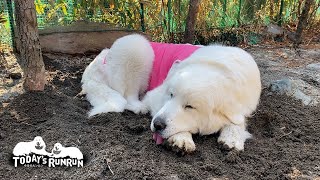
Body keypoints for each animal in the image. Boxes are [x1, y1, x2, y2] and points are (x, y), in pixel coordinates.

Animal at [81, 34, 262, 152]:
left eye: (190, 106)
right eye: (171, 95)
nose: (157, 124)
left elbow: (238, 121)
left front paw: (232, 137)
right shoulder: (155, 97)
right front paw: (181, 138)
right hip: (136, 46)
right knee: (127, 97)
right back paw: (139, 107)